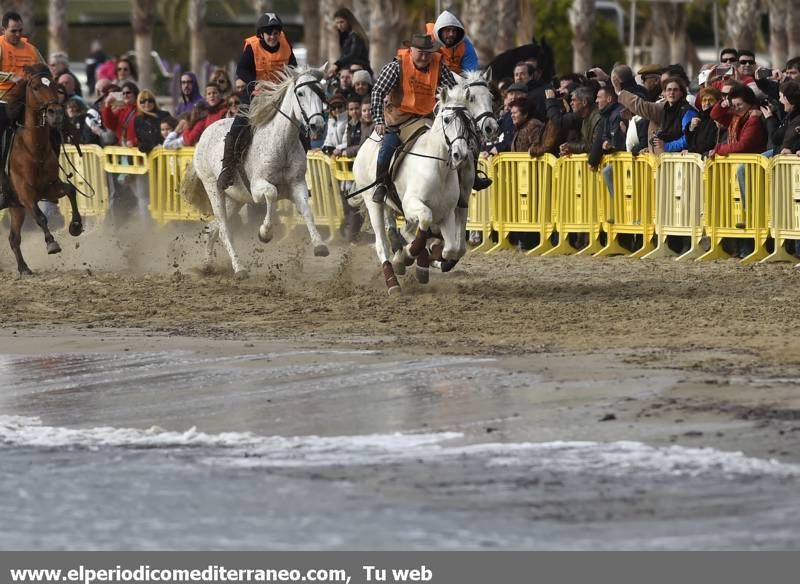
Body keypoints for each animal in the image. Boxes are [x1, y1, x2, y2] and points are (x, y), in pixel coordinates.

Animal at [1, 64, 83, 274]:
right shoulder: (26, 195)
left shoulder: (48, 187)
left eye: (54, 84)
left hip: (15, 208)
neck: (32, 149)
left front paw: (76, 226)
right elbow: (40, 217)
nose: (56, 112)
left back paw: (24, 268)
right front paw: (51, 243)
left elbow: (71, 190)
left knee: (14, 238)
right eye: (36, 86)